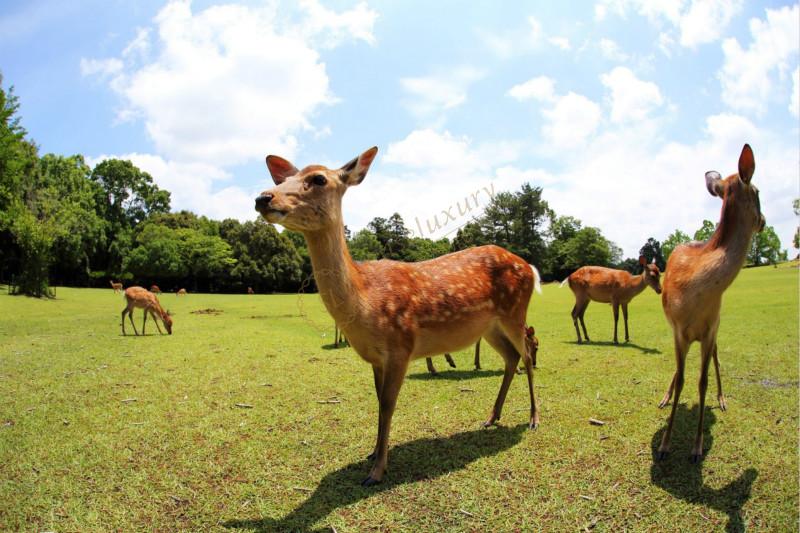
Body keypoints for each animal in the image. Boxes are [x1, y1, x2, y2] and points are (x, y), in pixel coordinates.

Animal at [256, 145, 544, 486]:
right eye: (284, 179)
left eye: (318, 179)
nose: (263, 197)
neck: (367, 302)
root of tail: (530, 268)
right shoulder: (376, 358)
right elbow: (378, 402)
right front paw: (372, 454)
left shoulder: (400, 347)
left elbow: (388, 405)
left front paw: (377, 471)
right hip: (489, 326)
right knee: (511, 358)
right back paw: (491, 417)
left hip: (515, 310)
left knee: (527, 353)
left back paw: (533, 419)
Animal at [660, 144, 764, 462]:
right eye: (758, 191)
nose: (764, 221)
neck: (697, 292)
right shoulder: (678, 331)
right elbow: (683, 378)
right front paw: (664, 445)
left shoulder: (711, 328)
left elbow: (701, 381)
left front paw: (696, 448)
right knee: (679, 370)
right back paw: (665, 397)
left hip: (717, 327)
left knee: (716, 357)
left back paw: (722, 398)